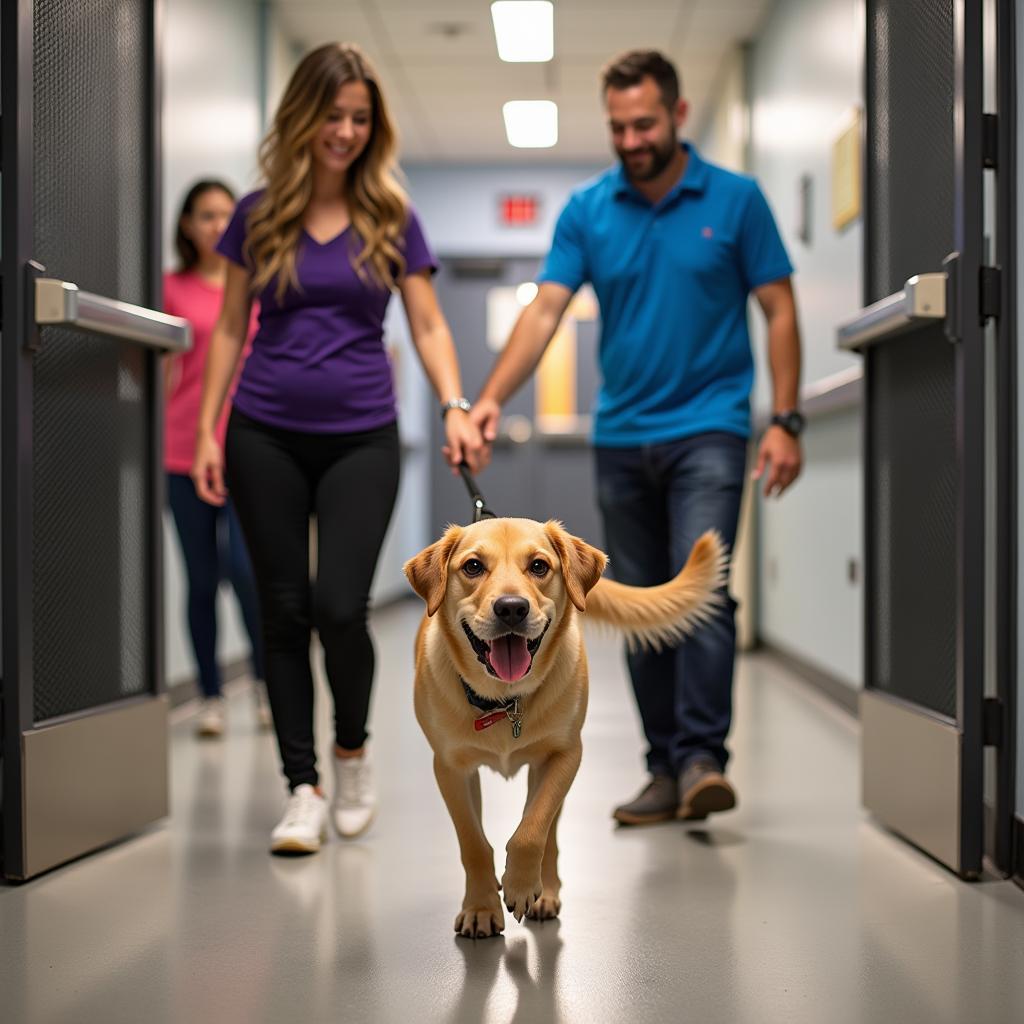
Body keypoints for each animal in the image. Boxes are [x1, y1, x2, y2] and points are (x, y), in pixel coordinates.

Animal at [403, 520, 724, 937]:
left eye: (539, 566)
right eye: (473, 566)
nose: (512, 608)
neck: (505, 702)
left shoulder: (565, 755)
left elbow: (532, 831)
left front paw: (521, 885)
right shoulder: (450, 768)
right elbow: (473, 843)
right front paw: (480, 907)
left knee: (548, 834)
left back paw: (545, 890)